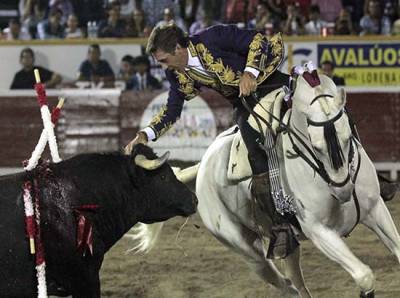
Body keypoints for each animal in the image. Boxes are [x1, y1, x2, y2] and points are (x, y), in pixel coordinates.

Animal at [129, 73, 400, 298]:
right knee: (286, 286)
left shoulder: (375, 209)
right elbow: (364, 276)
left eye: (348, 136)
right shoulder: (319, 231)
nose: (342, 190)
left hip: (285, 242)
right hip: (248, 252)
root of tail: (204, 163)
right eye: (315, 146)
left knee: (296, 281)